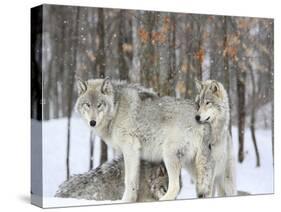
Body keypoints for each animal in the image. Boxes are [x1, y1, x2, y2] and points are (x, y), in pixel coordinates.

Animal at [75, 77, 213, 201]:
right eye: (87, 105)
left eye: (99, 105)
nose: (92, 122)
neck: (116, 109)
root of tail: (203, 120)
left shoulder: (130, 149)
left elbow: (129, 181)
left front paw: (125, 201)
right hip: (193, 166)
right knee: (207, 190)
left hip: (170, 155)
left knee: (175, 187)